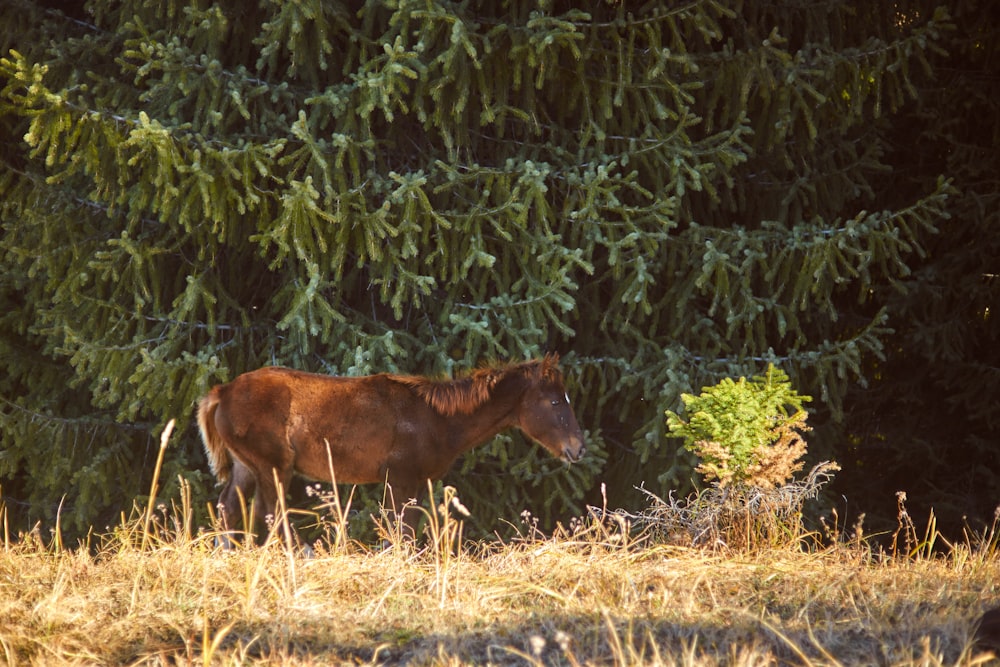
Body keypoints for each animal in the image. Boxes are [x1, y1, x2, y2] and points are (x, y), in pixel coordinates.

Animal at [195, 358, 584, 540]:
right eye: (554, 402)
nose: (578, 448)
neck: (436, 418)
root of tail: (223, 392)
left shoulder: (415, 483)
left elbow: (406, 532)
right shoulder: (401, 479)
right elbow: (403, 534)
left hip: (247, 465)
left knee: (230, 508)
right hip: (274, 465)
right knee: (269, 513)